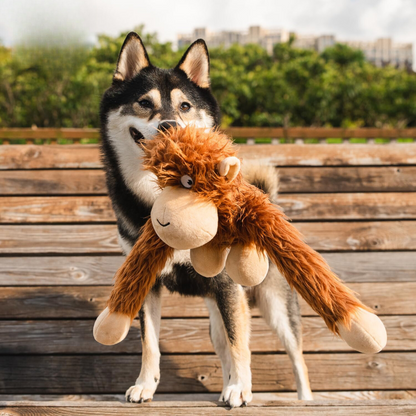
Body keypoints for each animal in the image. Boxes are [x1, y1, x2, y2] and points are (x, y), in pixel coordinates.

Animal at [98, 31, 312, 406]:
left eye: (185, 106)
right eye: (144, 103)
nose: (169, 125)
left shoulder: (228, 285)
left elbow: (240, 345)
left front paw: (240, 390)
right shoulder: (146, 281)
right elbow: (150, 343)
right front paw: (145, 385)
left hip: (273, 304)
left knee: (295, 357)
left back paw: (299, 398)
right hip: (217, 315)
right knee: (224, 344)